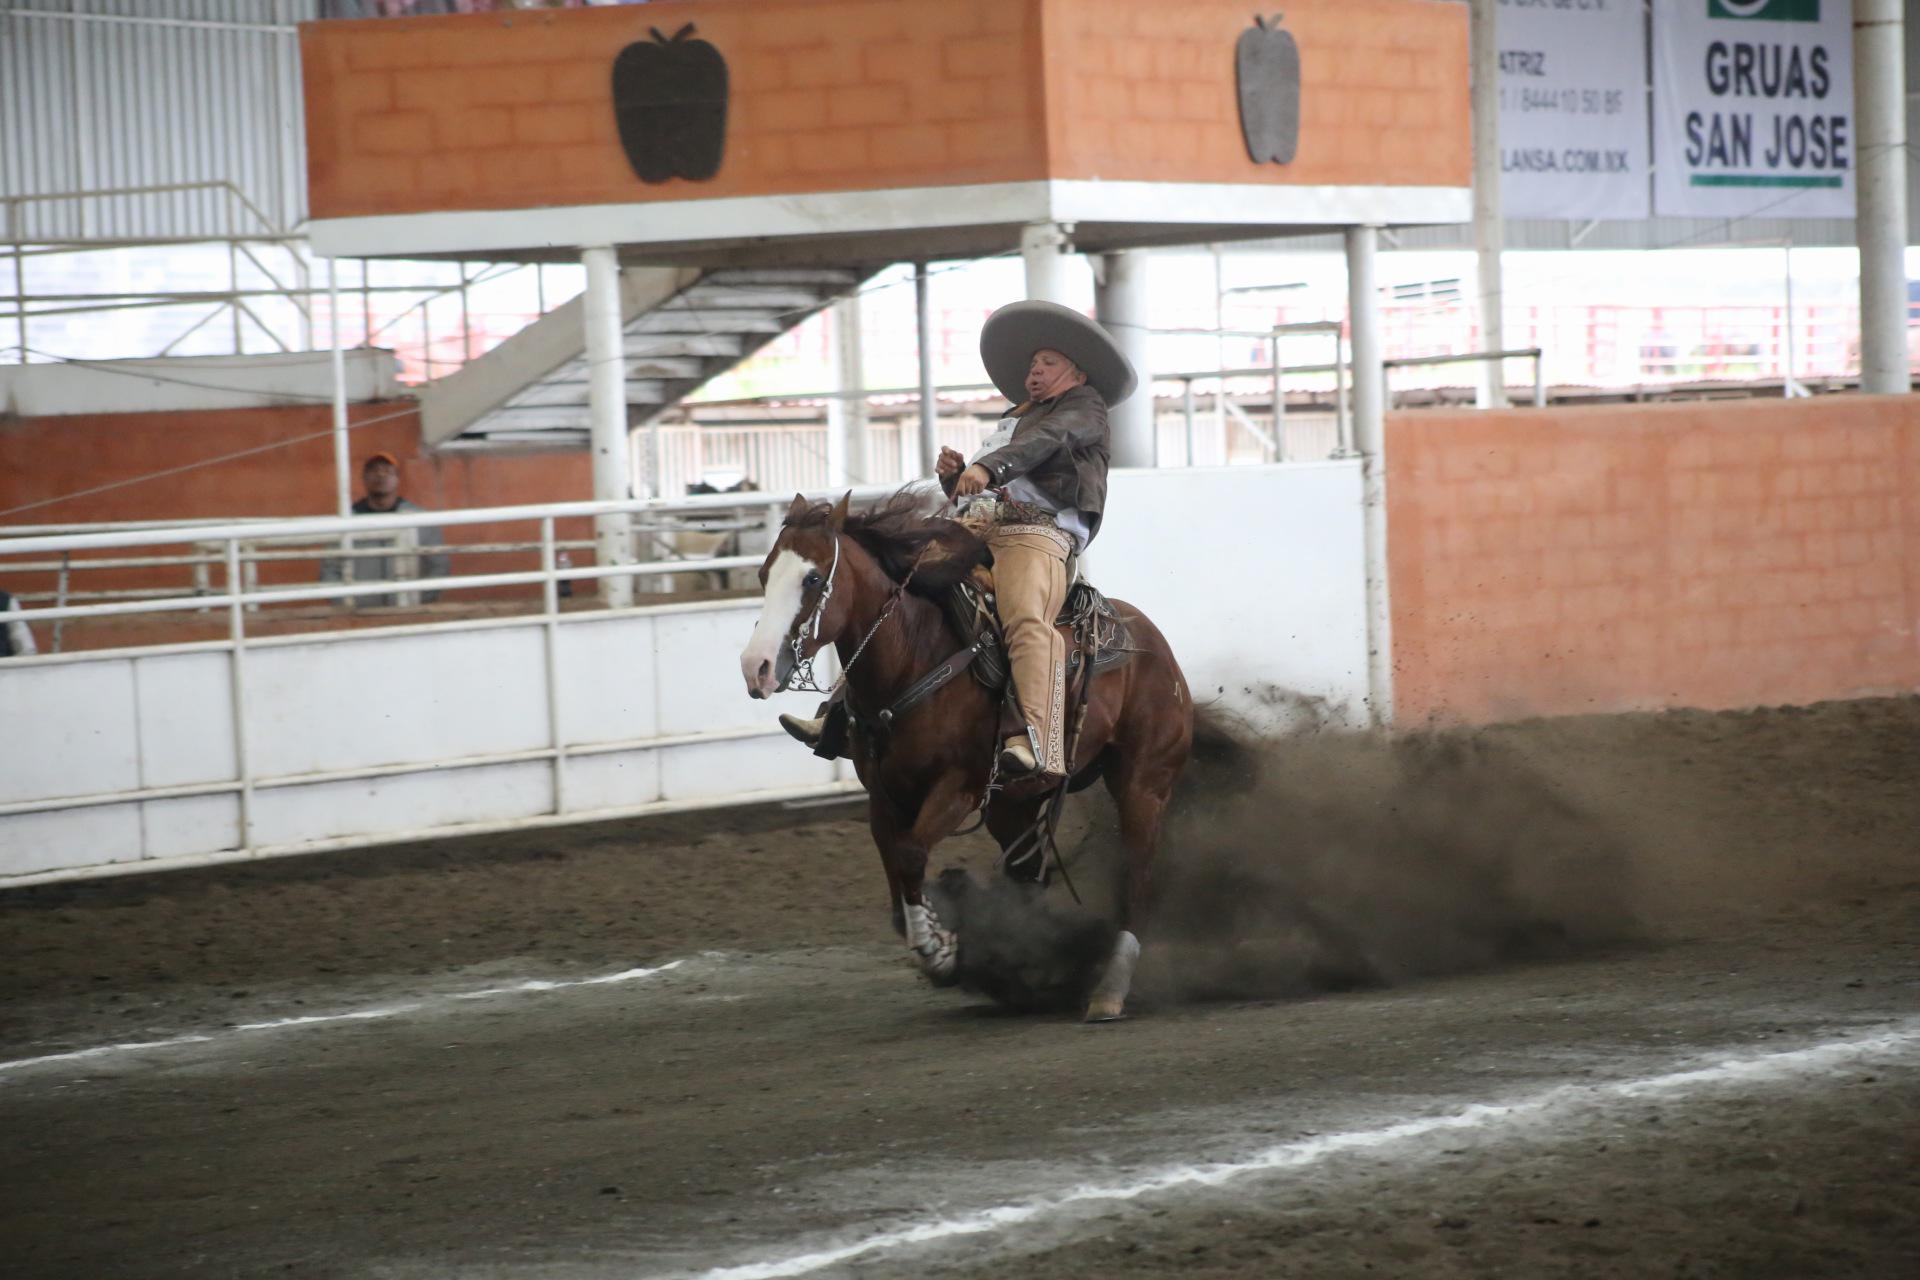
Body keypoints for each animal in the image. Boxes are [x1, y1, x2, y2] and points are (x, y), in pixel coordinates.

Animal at [733, 491, 1182, 1020]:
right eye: (764, 574)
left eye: (813, 578)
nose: (756, 667)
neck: (914, 656)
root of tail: (1150, 641)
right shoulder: (883, 798)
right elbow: (895, 871)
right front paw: (939, 942)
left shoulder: (958, 788)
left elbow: (909, 854)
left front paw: (939, 951)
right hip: (1013, 806)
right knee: (1028, 873)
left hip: (1143, 783)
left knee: (1138, 876)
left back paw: (1108, 989)